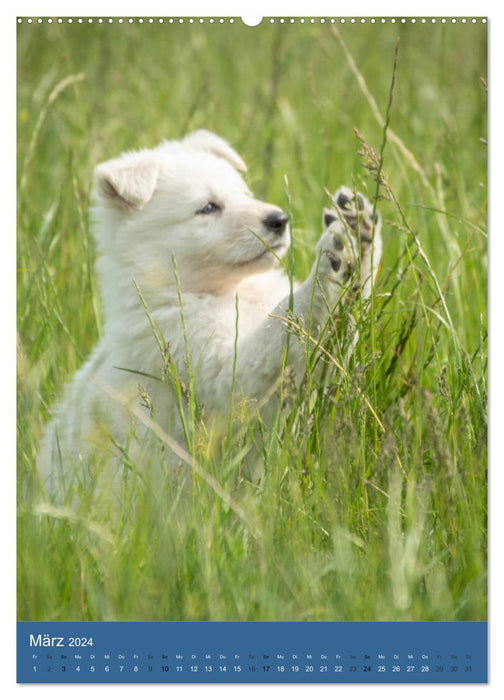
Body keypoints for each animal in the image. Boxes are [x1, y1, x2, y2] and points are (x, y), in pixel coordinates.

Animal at [37, 130, 380, 492]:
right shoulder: (190, 354)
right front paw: (336, 257)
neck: (221, 290)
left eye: (245, 193)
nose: (279, 220)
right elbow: (271, 345)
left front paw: (356, 229)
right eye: (208, 207)